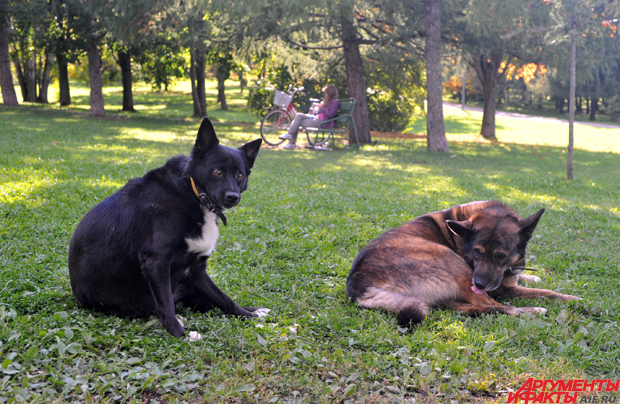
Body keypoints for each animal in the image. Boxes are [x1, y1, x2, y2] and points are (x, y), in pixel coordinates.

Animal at [68, 117, 268, 339]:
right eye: (217, 172)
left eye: (240, 175)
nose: (233, 197)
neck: (192, 193)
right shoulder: (156, 262)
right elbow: (166, 304)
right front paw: (180, 334)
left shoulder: (196, 270)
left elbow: (225, 299)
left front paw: (247, 315)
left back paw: (257, 311)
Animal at [347, 201, 578, 326]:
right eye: (477, 252)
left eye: (500, 256)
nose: (479, 284)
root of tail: (358, 285)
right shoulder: (503, 289)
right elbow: (547, 292)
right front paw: (571, 298)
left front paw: (533, 275)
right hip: (452, 261)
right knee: (490, 305)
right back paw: (533, 311)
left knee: (475, 307)